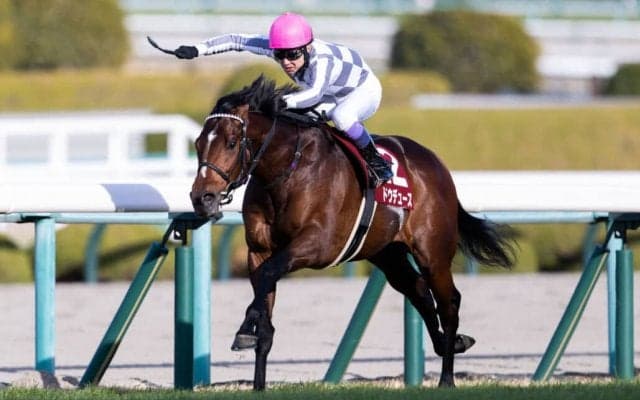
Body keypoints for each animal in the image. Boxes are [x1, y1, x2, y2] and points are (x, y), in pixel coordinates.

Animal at [190, 75, 515, 390]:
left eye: (232, 142)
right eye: (197, 143)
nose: (202, 197)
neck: (288, 170)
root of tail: (437, 165)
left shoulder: (318, 244)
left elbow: (269, 274)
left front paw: (245, 330)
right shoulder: (258, 250)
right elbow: (264, 305)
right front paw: (257, 378)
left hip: (432, 253)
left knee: (449, 303)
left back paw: (447, 378)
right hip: (388, 254)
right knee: (420, 292)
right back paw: (454, 343)